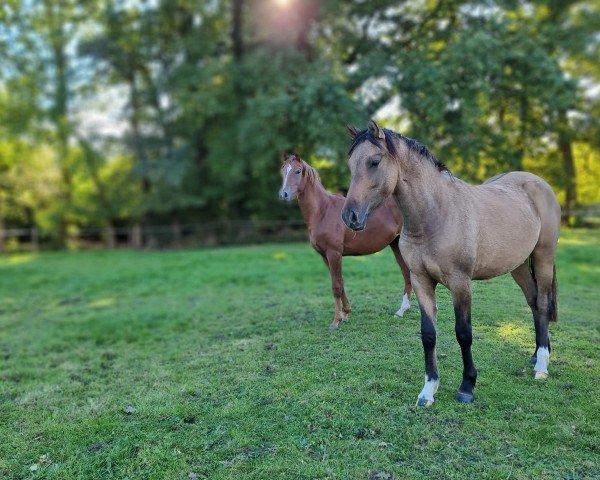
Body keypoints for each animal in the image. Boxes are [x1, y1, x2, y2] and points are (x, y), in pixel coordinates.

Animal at [342, 122, 564, 406]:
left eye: (374, 161)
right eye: (351, 164)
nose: (350, 216)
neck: (436, 215)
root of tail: (538, 183)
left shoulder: (461, 283)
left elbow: (464, 333)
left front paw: (467, 386)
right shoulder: (421, 281)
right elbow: (428, 334)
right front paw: (428, 390)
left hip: (543, 256)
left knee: (544, 303)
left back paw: (542, 366)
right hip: (519, 266)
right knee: (534, 302)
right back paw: (536, 354)